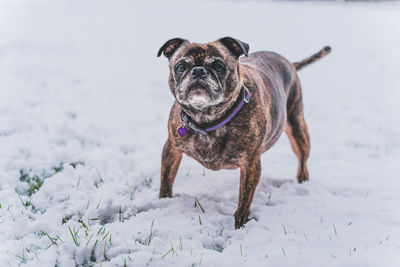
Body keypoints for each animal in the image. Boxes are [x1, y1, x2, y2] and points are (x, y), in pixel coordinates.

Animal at [158, 37, 330, 229]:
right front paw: (163, 202)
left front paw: (240, 225)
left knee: (302, 160)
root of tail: (290, 64)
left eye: (219, 66)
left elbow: (244, 202)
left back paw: (302, 182)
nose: (198, 71)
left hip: (297, 128)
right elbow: (166, 180)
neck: (207, 120)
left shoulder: (251, 164)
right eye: (181, 66)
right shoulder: (171, 149)